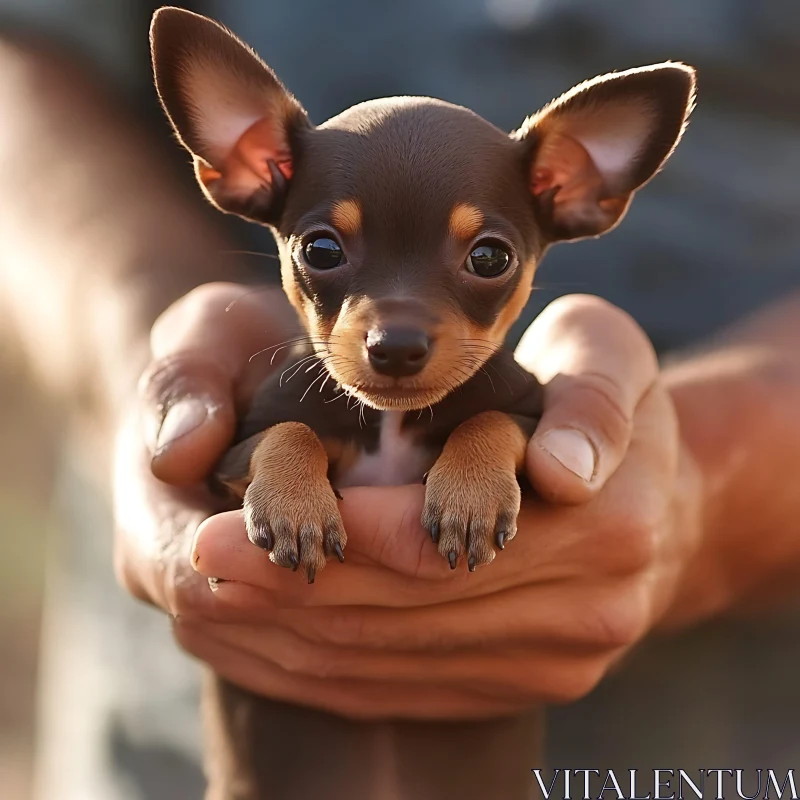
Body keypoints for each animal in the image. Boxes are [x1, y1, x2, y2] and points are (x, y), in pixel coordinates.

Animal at [148, 4, 692, 792]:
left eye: (490, 258)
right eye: (320, 250)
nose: (397, 345)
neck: (391, 423)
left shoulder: (534, 422)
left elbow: (493, 418)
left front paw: (469, 495)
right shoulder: (228, 456)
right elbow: (290, 432)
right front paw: (294, 506)